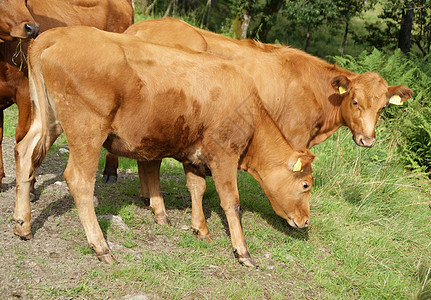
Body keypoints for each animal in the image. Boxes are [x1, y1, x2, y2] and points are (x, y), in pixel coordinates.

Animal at [0, 0, 134, 190]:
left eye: (25, 1)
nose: (33, 28)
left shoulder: (26, 92)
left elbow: (22, 136)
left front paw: (30, 184)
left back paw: (110, 171)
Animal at [15, 25, 316, 264]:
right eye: (305, 185)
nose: (306, 222)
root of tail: (57, 34)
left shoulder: (194, 155)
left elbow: (197, 188)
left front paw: (200, 229)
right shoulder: (224, 155)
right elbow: (231, 202)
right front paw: (242, 251)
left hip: (48, 120)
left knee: (24, 152)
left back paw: (22, 224)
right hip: (87, 130)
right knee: (79, 180)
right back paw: (101, 246)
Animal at [119, 17, 416, 232]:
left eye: (383, 107)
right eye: (355, 101)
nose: (367, 139)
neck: (314, 87)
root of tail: (141, 27)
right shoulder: (294, 137)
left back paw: (148, 198)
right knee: (151, 161)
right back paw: (158, 208)